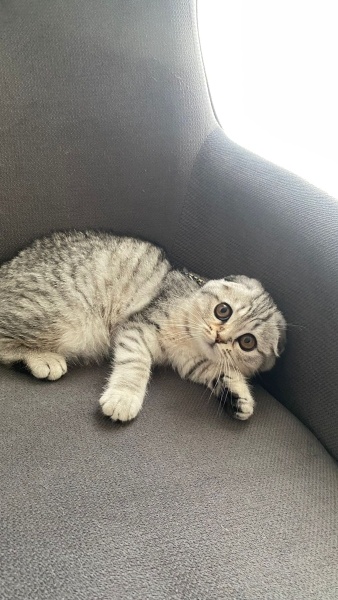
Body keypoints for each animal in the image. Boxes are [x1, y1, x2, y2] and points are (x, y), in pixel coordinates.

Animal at [0, 230, 286, 422]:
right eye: (223, 310)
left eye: (247, 342)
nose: (219, 337)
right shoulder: (138, 327)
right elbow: (135, 363)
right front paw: (123, 398)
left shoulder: (189, 362)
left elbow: (217, 369)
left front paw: (239, 396)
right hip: (65, 318)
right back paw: (44, 359)